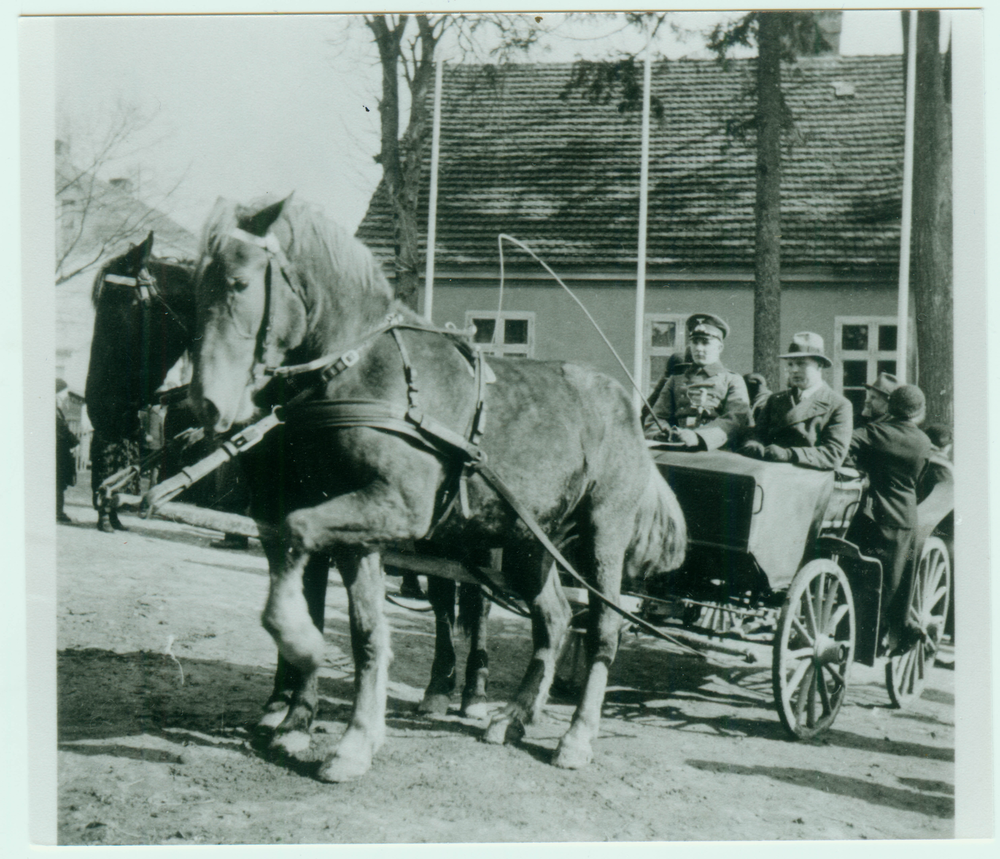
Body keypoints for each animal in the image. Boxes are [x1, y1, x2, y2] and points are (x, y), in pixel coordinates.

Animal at [188, 197, 688, 788]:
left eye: (240, 283)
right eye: (196, 287)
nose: (207, 404)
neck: (365, 372)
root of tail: (629, 405)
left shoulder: (395, 511)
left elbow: (298, 534)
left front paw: (303, 653)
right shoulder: (359, 525)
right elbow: (366, 631)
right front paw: (350, 736)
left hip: (602, 536)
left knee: (604, 628)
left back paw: (577, 737)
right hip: (529, 541)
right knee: (554, 621)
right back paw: (513, 717)